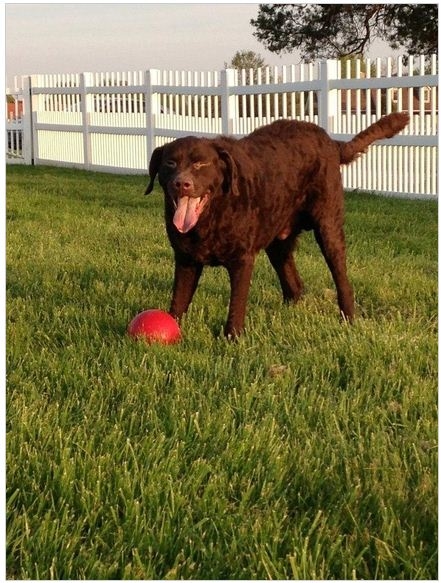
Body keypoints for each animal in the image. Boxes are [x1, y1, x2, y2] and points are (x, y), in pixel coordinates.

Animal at [147, 113, 410, 338]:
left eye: (201, 164)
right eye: (170, 163)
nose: (182, 183)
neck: (211, 216)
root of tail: (331, 141)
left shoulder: (242, 260)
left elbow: (236, 304)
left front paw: (232, 337)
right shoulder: (186, 259)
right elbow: (178, 301)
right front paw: (173, 327)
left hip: (329, 228)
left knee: (341, 279)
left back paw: (348, 318)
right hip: (278, 244)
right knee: (294, 285)